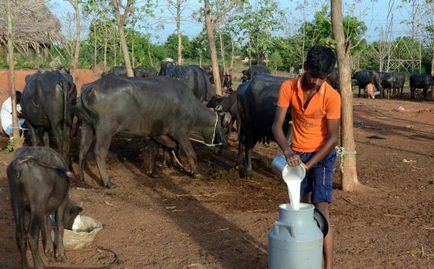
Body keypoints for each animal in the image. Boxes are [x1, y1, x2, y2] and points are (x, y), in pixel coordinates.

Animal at [74, 73, 227, 186]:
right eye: (222, 126)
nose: (223, 144)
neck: (191, 107)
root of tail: (89, 88)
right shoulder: (181, 134)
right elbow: (190, 153)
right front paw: (195, 172)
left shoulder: (156, 134)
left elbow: (155, 152)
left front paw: (153, 172)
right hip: (105, 130)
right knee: (99, 153)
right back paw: (107, 182)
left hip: (87, 126)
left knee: (83, 151)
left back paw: (82, 178)